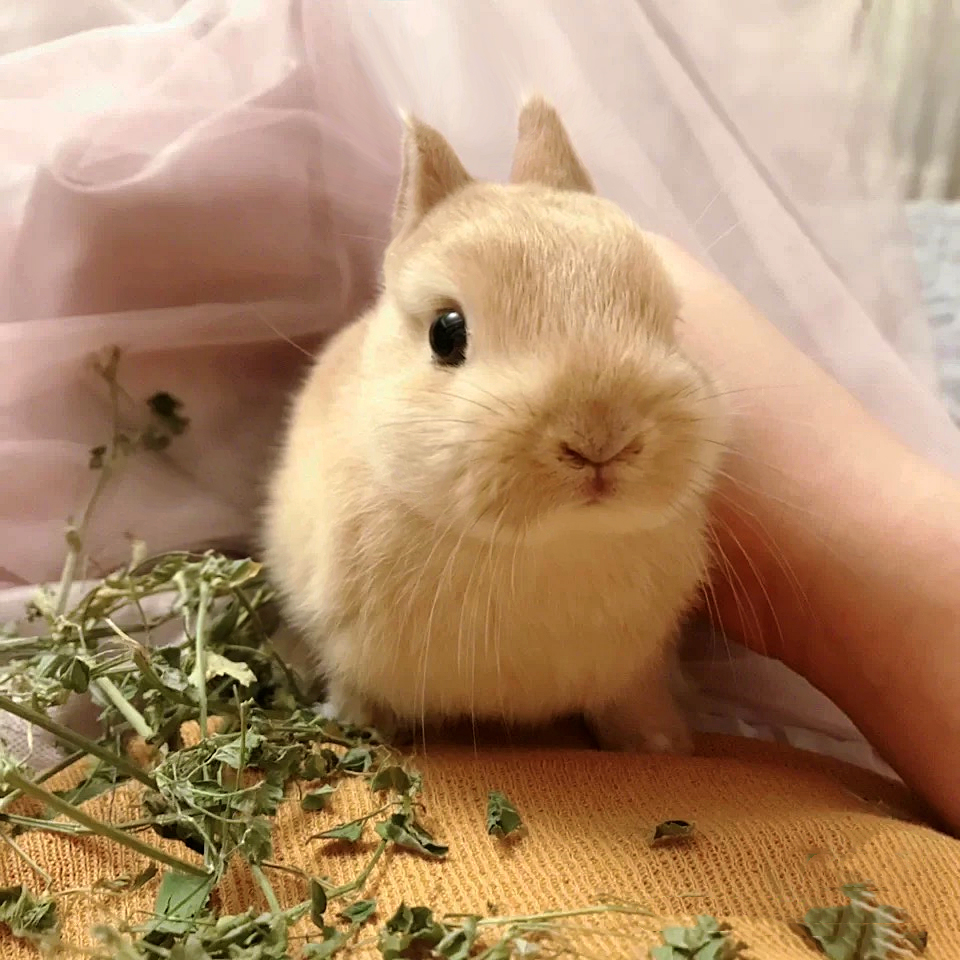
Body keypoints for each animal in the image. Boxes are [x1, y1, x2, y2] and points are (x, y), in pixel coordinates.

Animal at [262, 97, 727, 754]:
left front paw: (664, 746)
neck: (549, 545)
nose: (601, 439)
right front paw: (358, 726)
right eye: (445, 333)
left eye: (670, 321)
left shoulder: (634, 671)